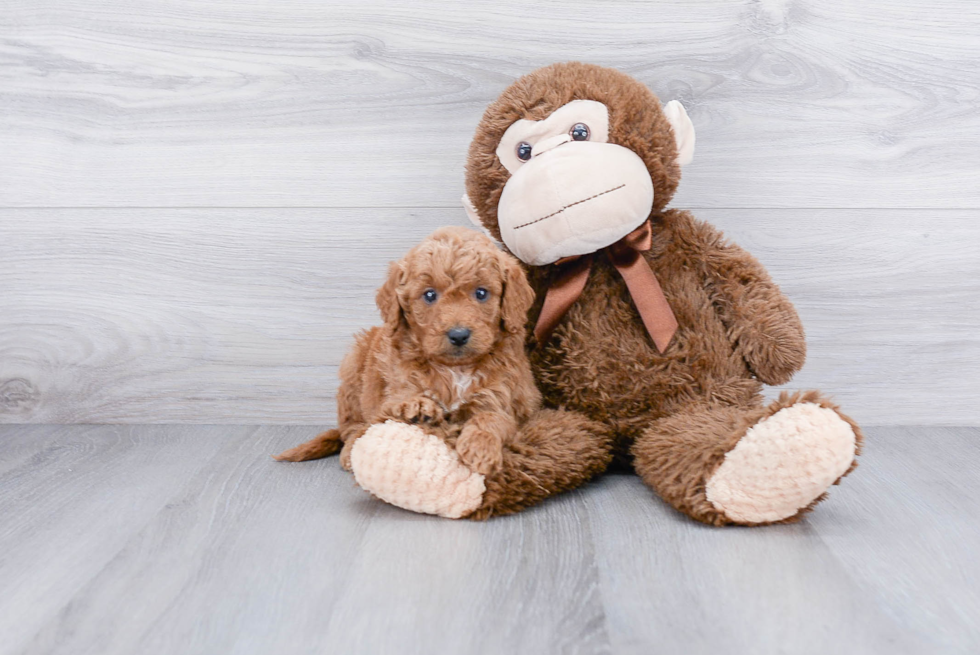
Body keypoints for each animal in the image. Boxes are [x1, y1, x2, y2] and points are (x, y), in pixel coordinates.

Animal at [272, 226, 540, 476]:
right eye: (429, 295)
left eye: (481, 293)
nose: (458, 335)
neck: (455, 370)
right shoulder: (392, 393)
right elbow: (394, 405)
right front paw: (417, 407)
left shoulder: (503, 397)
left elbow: (493, 418)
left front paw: (480, 449)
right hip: (354, 367)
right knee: (351, 427)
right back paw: (350, 450)